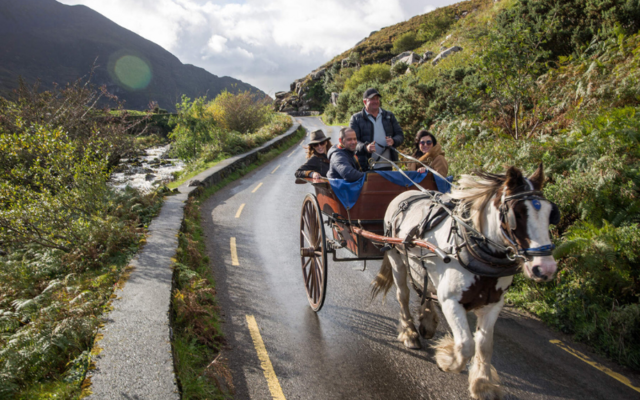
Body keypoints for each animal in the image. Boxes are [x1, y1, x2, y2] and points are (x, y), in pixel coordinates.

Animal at [370, 164, 560, 398]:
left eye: (550, 213)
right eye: (517, 214)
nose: (546, 268)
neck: (473, 246)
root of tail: (405, 194)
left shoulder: (493, 304)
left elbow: (485, 345)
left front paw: (482, 384)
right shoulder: (452, 301)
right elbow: (466, 345)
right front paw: (446, 358)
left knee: (425, 287)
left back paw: (427, 320)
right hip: (397, 258)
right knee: (403, 295)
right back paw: (409, 333)